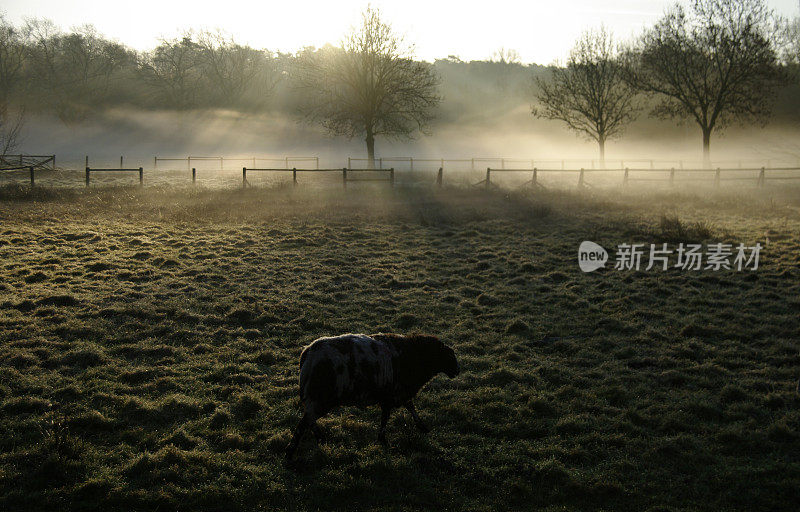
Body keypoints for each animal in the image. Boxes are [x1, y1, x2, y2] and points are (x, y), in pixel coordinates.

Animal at [286, 334, 462, 458]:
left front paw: (422, 427)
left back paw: (319, 439)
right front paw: (383, 439)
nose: (457, 371)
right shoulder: (393, 394)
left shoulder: (396, 394)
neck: (413, 356)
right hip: (321, 397)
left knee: (309, 419)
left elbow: (409, 407)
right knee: (305, 422)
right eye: (448, 356)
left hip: (317, 398)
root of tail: (308, 353)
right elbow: (387, 416)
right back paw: (291, 453)